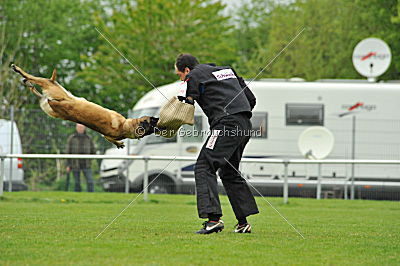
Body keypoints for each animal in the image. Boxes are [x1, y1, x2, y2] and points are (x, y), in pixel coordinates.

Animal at [10, 63, 158, 149]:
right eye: (151, 121)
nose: (158, 119)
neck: (125, 126)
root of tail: (52, 99)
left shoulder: (107, 135)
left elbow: (109, 139)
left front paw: (119, 144)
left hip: (48, 104)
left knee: (34, 90)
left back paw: (27, 82)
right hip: (51, 86)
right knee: (34, 78)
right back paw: (18, 70)